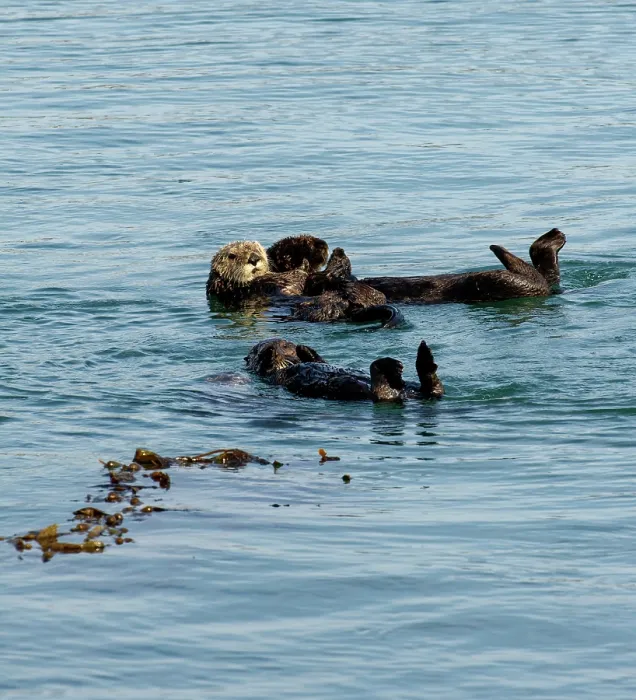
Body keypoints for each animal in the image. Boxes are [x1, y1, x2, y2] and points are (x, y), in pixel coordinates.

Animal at [245, 337, 443, 402]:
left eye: (286, 345)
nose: (276, 348)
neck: (290, 363)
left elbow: (319, 359)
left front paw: (304, 349)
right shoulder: (267, 374)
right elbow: (264, 366)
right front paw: (269, 353)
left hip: (411, 386)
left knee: (433, 389)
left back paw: (424, 357)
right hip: (355, 389)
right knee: (382, 393)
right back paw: (390, 366)